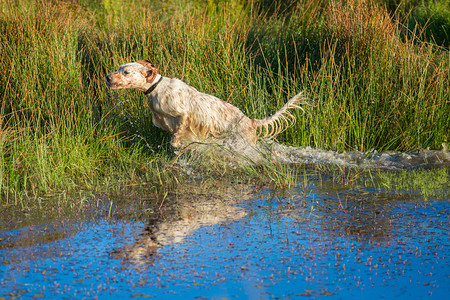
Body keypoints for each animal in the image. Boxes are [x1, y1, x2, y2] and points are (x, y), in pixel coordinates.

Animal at [107, 60, 308, 148]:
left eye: (126, 72)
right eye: (118, 68)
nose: (107, 77)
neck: (157, 88)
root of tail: (250, 121)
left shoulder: (184, 115)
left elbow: (177, 135)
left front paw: (178, 145)